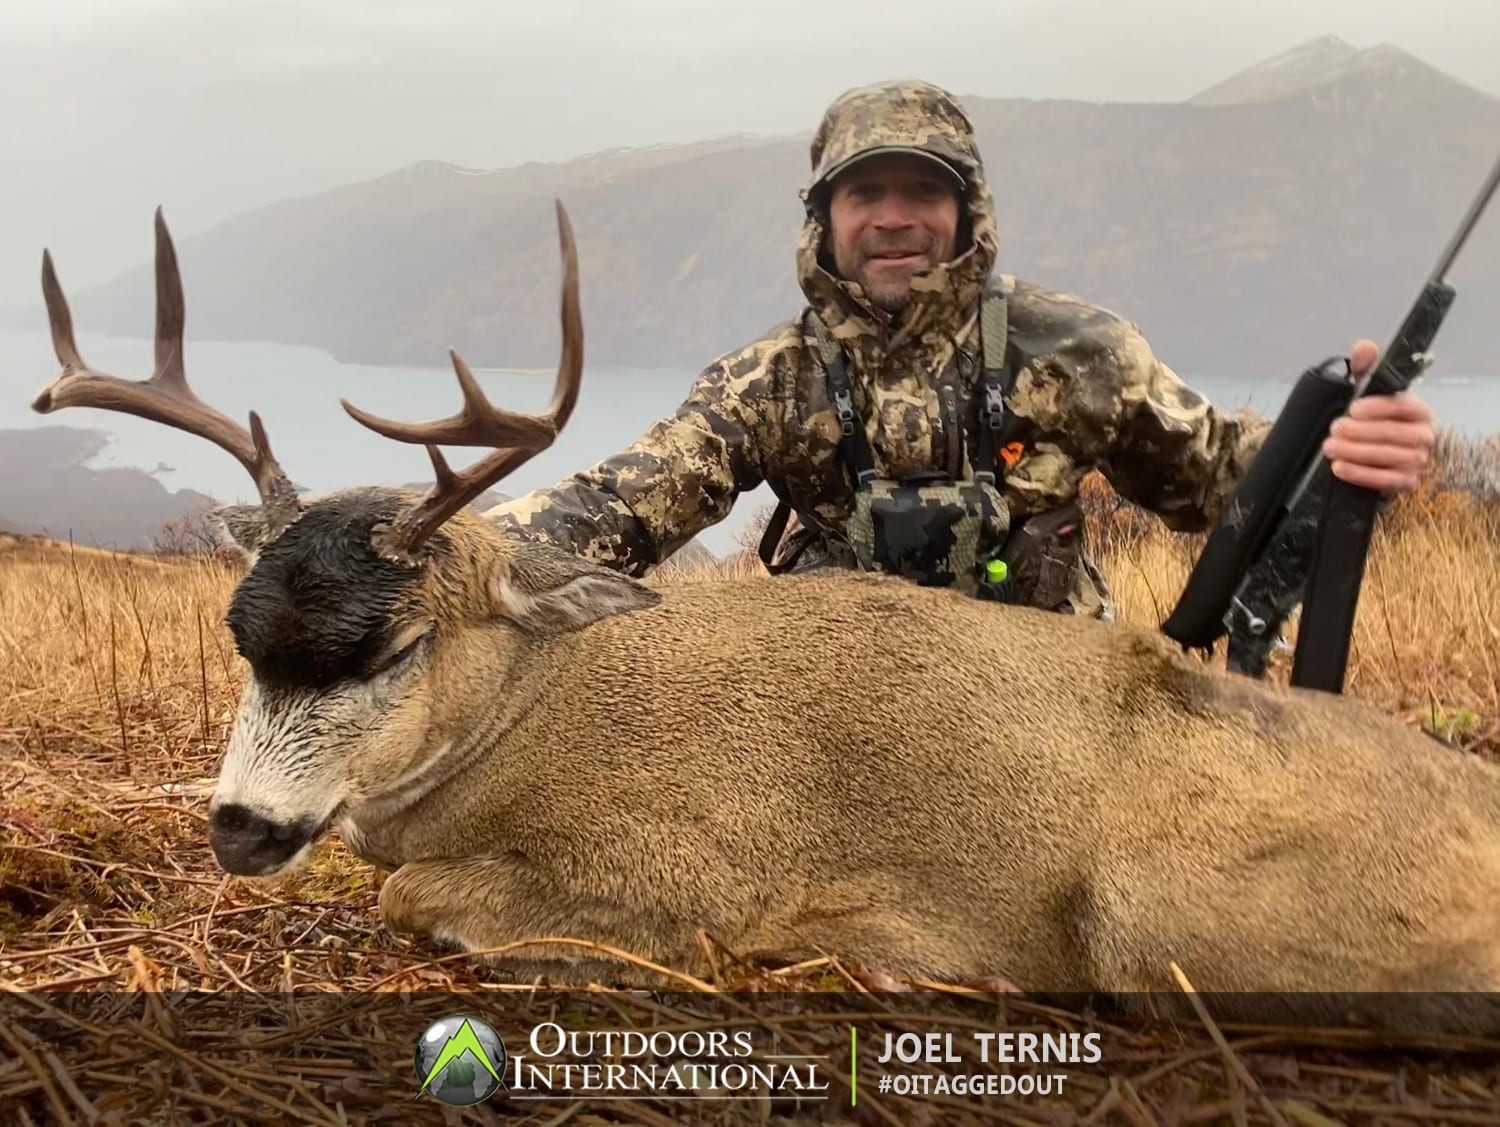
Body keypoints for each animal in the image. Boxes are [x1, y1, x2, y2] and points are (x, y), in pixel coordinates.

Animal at [26, 207, 1500, 1038]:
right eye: (241, 635)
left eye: (390, 647)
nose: (240, 825)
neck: (531, 721)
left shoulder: (682, 864)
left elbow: (416, 896)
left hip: (1156, 912)